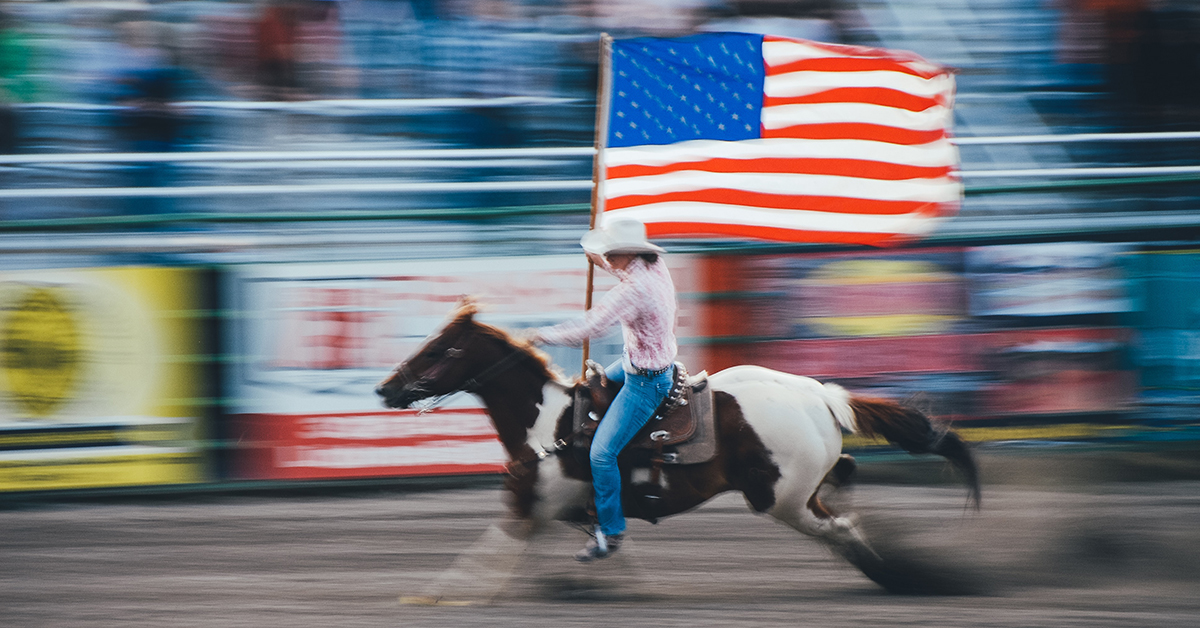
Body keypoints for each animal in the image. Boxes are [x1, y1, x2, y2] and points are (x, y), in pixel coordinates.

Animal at [372, 301, 974, 595]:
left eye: (439, 350)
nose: (385, 389)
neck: (547, 425)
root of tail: (820, 396)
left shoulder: (530, 509)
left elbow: (485, 556)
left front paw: (435, 596)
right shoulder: (566, 510)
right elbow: (611, 545)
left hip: (782, 498)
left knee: (842, 528)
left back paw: (900, 579)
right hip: (797, 493)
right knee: (845, 504)